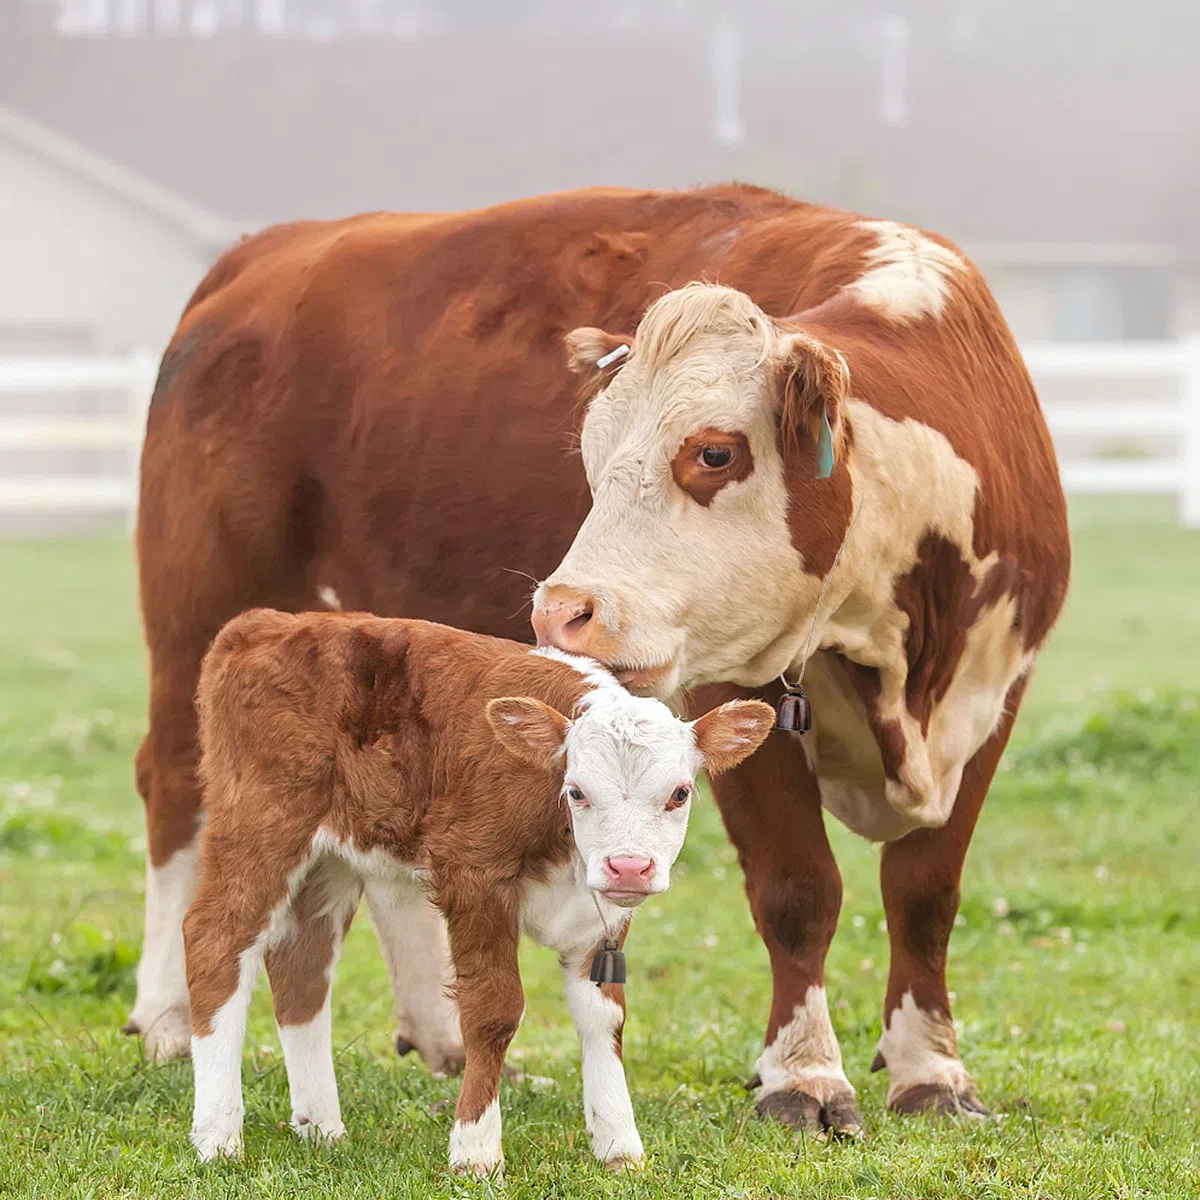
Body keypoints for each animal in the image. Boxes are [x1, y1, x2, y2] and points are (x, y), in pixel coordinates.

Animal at [184, 608, 774, 1172]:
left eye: (680, 793)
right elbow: (494, 1011)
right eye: (577, 791)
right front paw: (476, 1150)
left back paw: (321, 1128)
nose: (629, 867)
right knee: (215, 941)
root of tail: (269, 623)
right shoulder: (473, 875)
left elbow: (605, 1017)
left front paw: (619, 1145)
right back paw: (218, 1137)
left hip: (329, 861)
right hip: (260, 824)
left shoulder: (600, 915)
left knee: (301, 964)